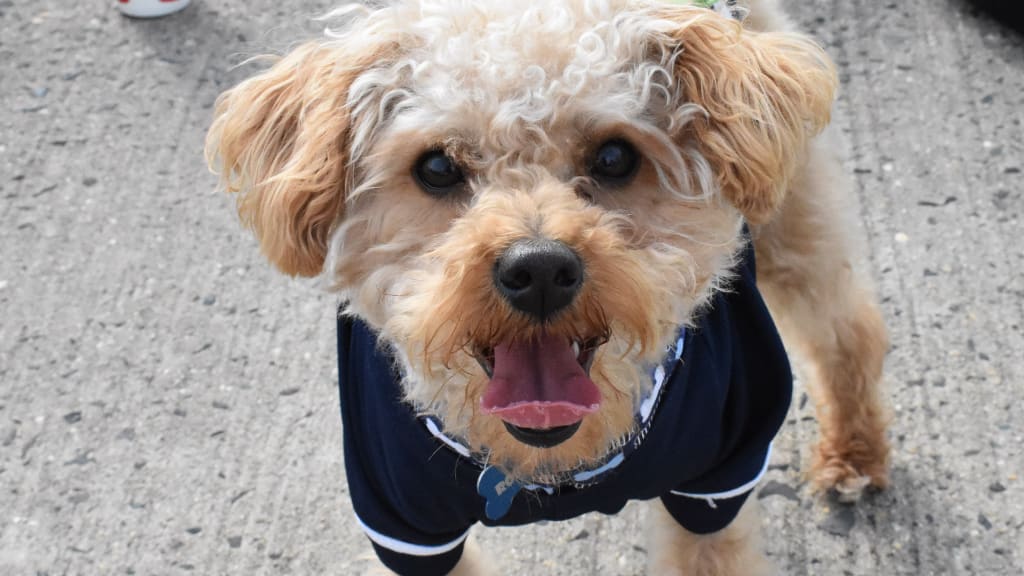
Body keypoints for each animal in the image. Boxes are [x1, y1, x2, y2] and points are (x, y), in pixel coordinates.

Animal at [205, 1, 888, 569]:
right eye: (436, 166)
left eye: (614, 158)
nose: (538, 270)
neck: (549, 466)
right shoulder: (404, 527)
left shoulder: (718, 480)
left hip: (789, 219)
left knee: (846, 330)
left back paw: (854, 455)